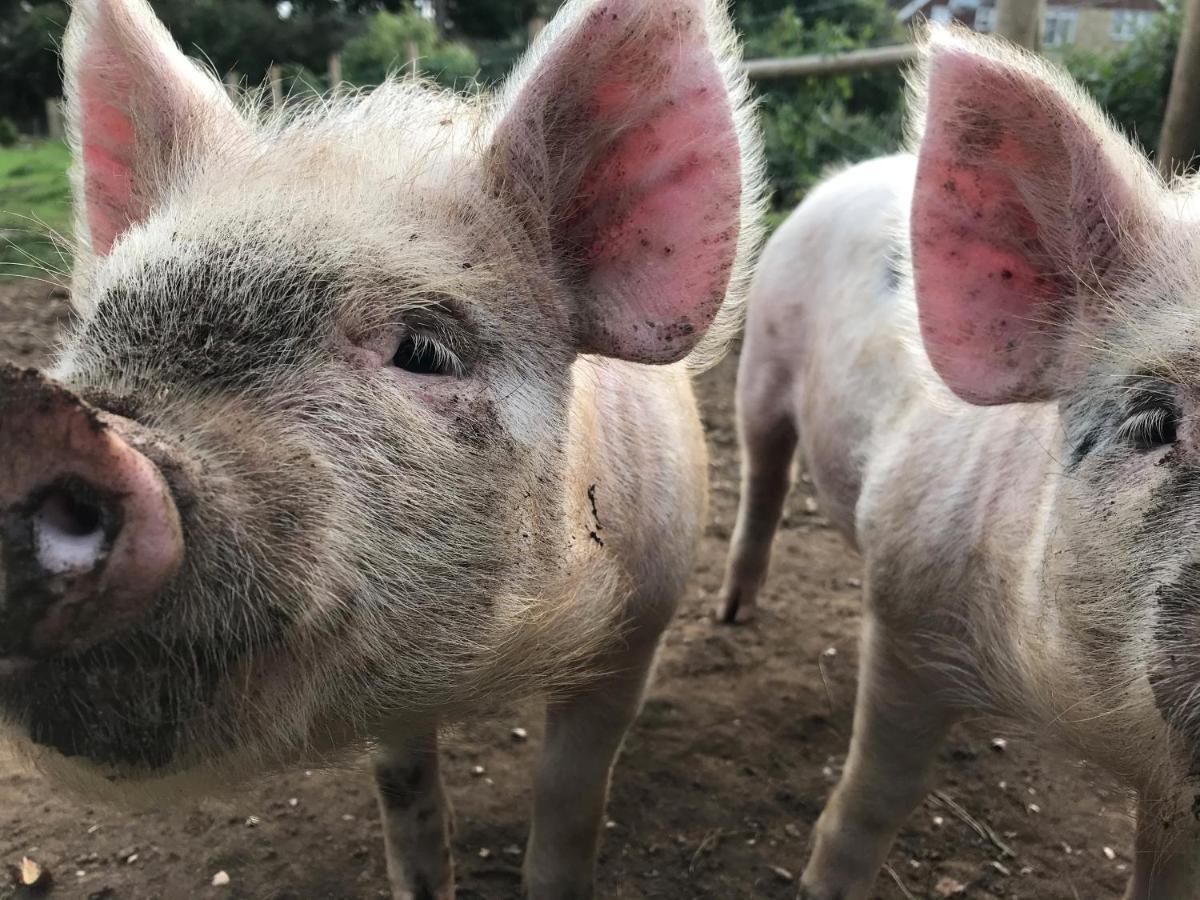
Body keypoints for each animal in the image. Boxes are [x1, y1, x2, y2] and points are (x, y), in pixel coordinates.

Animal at [715, 26, 1200, 900]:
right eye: (1153, 422)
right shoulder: (912, 610)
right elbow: (877, 796)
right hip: (763, 354)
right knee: (766, 471)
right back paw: (732, 613)